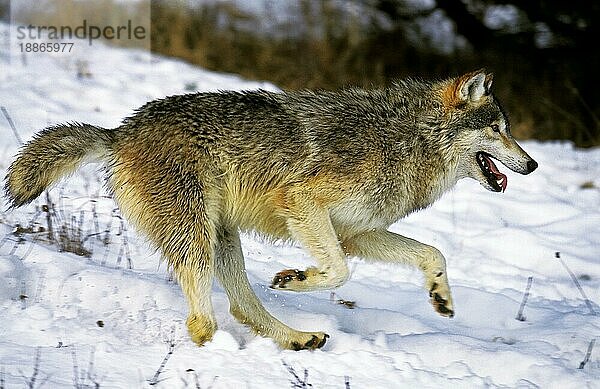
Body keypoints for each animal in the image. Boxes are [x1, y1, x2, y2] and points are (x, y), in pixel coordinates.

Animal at [4, 69, 540, 348]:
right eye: (499, 129)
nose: (533, 164)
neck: (409, 140)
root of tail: (119, 131)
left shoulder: (357, 232)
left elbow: (433, 254)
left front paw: (441, 298)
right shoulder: (304, 202)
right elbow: (338, 272)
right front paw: (297, 278)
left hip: (222, 238)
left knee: (242, 304)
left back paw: (299, 338)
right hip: (197, 236)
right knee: (203, 319)